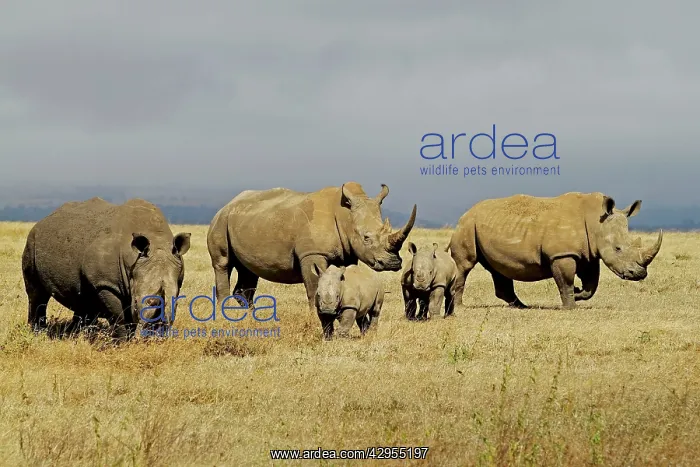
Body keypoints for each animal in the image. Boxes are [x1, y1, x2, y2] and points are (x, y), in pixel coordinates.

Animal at [21, 197, 191, 338]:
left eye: (175, 302)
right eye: (137, 302)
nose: (155, 330)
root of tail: (44, 219)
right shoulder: (105, 283)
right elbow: (119, 318)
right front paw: (122, 343)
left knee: (83, 299)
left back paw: (76, 335)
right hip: (31, 241)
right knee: (37, 294)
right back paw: (38, 333)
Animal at [206, 182, 416, 337]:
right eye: (366, 238)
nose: (393, 263)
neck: (345, 217)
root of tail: (228, 204)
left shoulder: (348, 254)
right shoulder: (312, 254)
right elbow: (314, 287)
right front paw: (317, 320)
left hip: (246, 222)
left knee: (249, 272)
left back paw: (250, 319)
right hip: (221, 221)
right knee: (223, 263)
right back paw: (225, 319)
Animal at [448, 192, 663, 309]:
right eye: (617, 249)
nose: (639, 274)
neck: (597, 222)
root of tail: (466, 213)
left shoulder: (589, 254)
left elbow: (591, 285)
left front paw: (578, 293)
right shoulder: (562, 254)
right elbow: (565, 281)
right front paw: (571, 306)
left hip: (484, 226)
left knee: (498, 269)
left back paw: (522, 306)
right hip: (467, 225)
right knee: (465, 265)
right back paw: (459, 306)